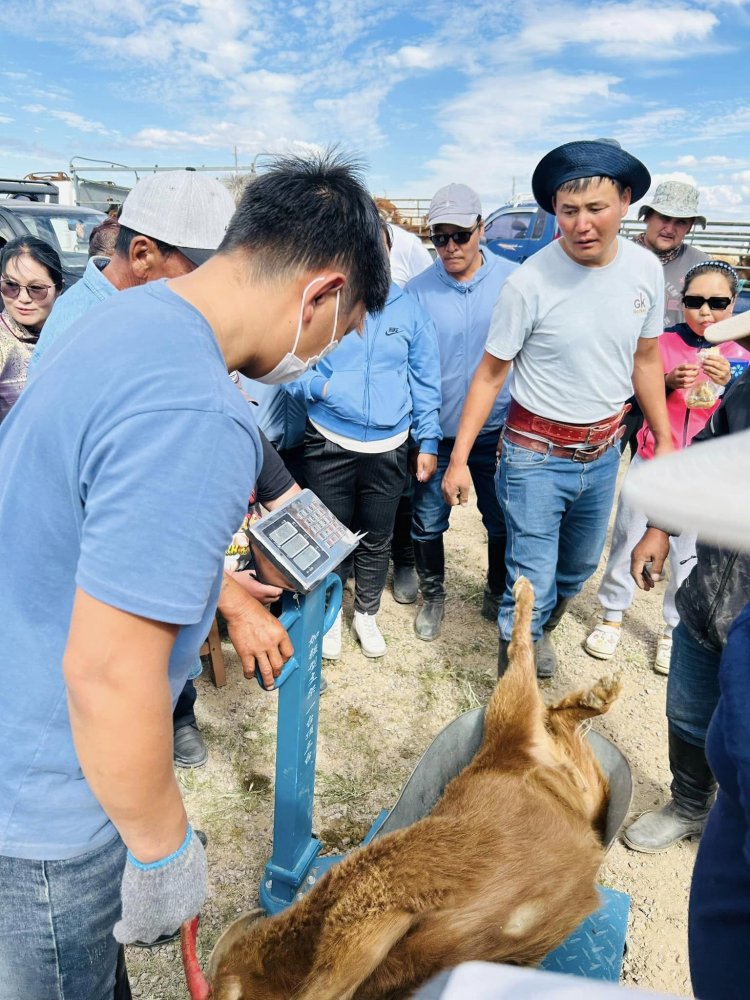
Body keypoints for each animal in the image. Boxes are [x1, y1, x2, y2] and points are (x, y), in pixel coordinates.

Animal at [187, 580, 624, 1000]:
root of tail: (522, 749)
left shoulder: (369, 908)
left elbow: (333, 978)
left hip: (510, 706)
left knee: (522, 657)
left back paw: (533, 600)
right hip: (586, 790)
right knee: (557, 715)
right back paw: (597, 696)